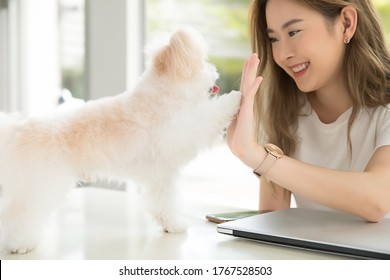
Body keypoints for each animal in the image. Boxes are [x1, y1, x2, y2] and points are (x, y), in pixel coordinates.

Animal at [0, 28, 241, 254]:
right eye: (204, 64)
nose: (215, 72)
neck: (163, 95)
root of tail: (19, 130)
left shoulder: (162, 174)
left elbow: (164, 203)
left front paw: (171, 225)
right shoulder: (184, 129)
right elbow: (211, 115)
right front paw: (236, 97)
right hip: (43, 184)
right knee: (19, 214)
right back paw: (20, 243)